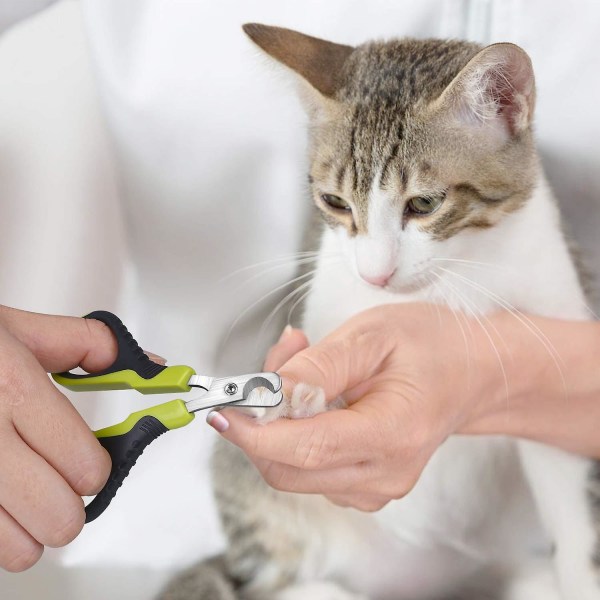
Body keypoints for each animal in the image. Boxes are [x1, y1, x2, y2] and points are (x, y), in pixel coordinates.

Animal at [159, 23, 600, 600]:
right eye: (335, 202)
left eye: (425, 204)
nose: (374, 274)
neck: (451, 282)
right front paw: (303, 401)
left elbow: (572, 505)